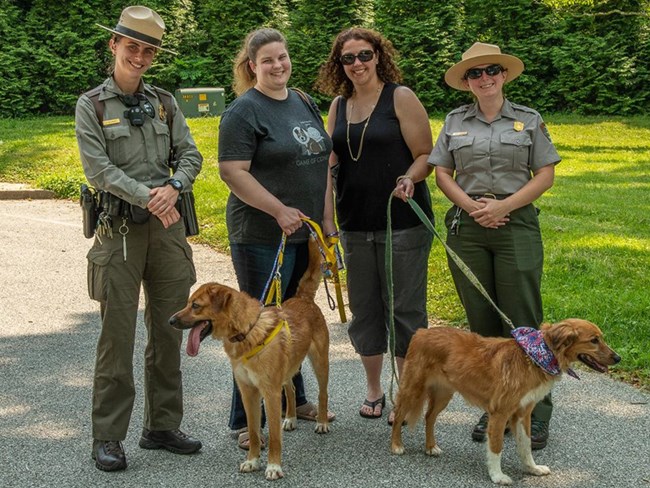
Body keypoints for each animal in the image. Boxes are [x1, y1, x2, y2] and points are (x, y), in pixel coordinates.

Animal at [170, 238, 330, 478]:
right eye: (189, 303)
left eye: (195, 306)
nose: (170, 320)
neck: (246, 332)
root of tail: (303, 298)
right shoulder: (248, 392)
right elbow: (254, 431)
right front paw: (253, 461)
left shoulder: (270, 393)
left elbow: (274, 436)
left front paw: (273, 466)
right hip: (288, 368)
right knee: (291, 389)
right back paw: (291, 418)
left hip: (320, 363)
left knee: (322, 394)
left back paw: (321, 422)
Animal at [388, 320, 620, 484]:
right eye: (594, 340)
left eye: (601, 338)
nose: (618, 358)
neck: (536, 356)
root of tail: (421, 332)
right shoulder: (500, 413)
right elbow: (496, 447)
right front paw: (497, 476)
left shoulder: (523, 413)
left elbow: (526, 446)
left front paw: (532, 469)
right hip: (413, 389)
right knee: (399, 415)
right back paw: (396, 445)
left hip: (444, 394)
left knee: (429, 417)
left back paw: (430, 447)